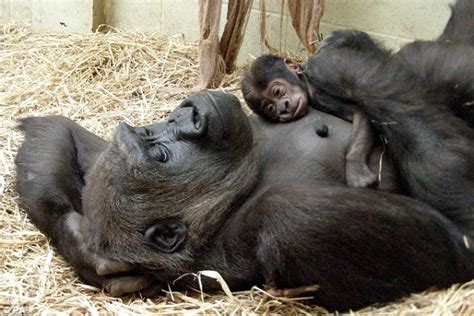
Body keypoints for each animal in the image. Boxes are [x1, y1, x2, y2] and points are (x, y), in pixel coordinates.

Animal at [243, 55, 376, 188]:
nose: (283, 108)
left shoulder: (317, 94)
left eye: (277, 91)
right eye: (271, 108)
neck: (304, 78)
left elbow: (357, 112)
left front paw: (355, 167)